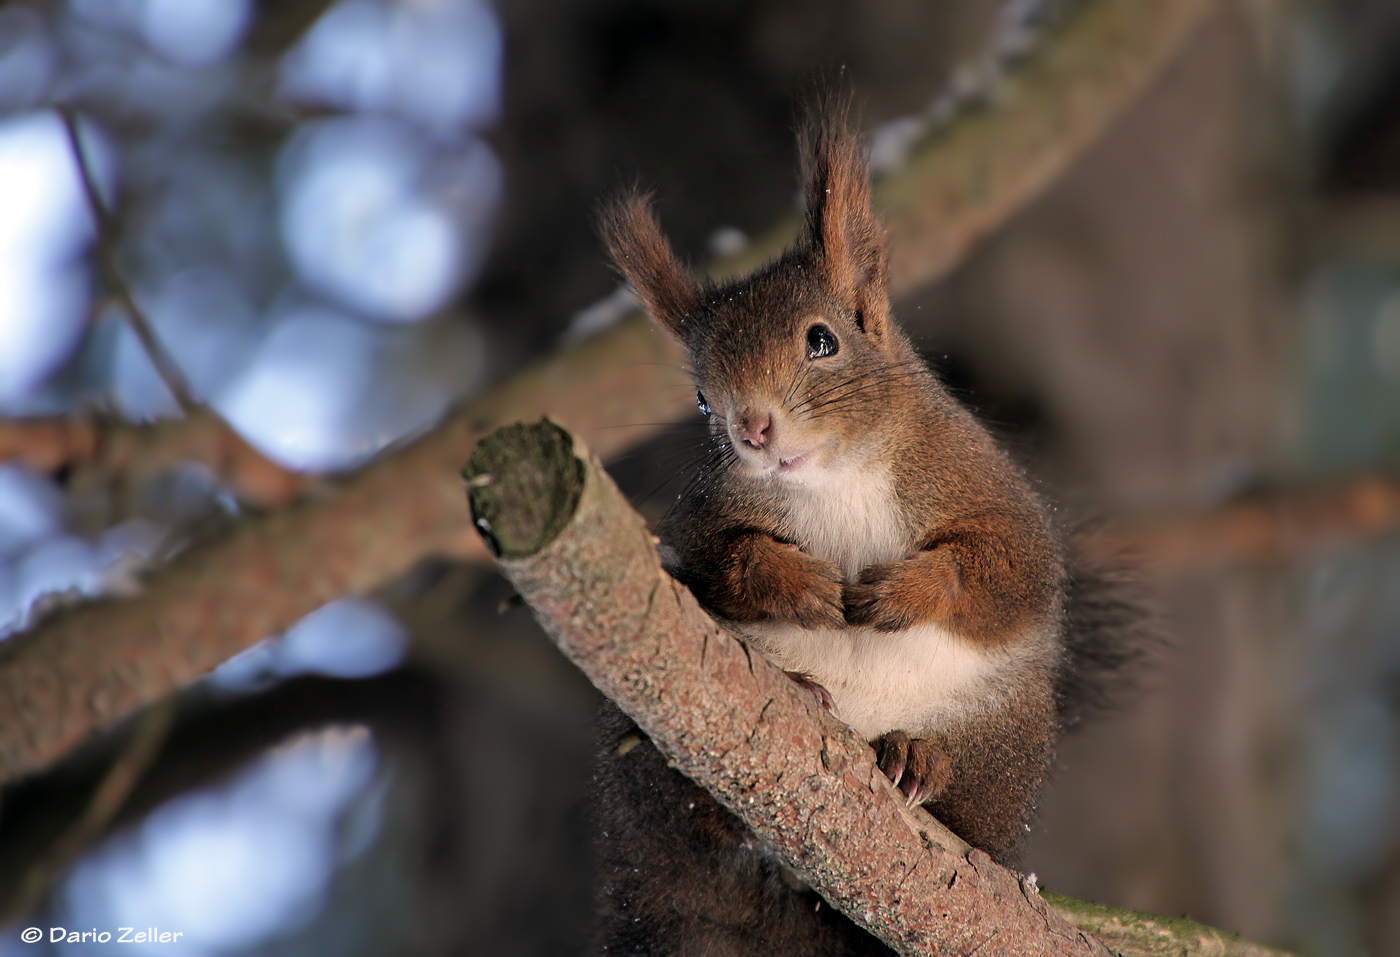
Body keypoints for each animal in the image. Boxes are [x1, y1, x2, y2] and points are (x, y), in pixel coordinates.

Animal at [582, 95, 1136, 951]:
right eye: (702, 397)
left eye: (822, 340)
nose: (752, 427)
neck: (833, 478)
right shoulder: (702, 523)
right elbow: (719, 564)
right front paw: (795, 579)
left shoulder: (991, 493)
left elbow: (1005, 572)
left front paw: (906, 589)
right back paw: (800, 700)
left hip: (1001, 740)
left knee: (969, 799)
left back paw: (920, 759)